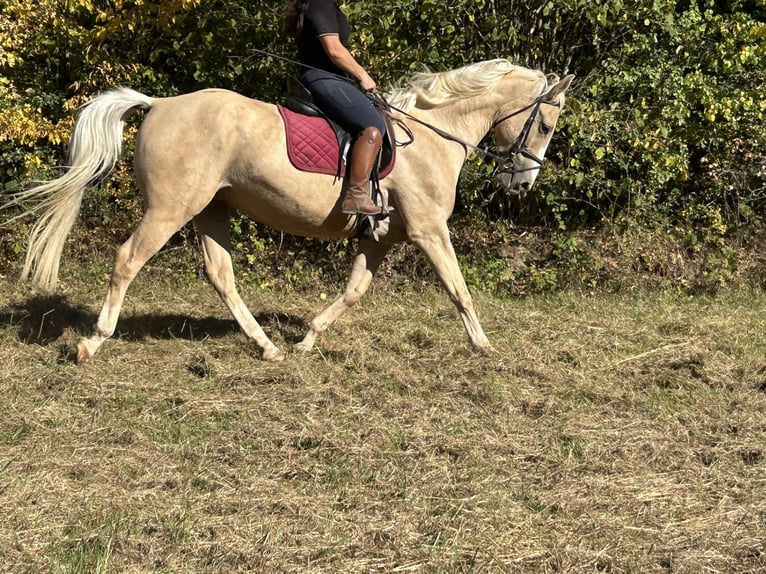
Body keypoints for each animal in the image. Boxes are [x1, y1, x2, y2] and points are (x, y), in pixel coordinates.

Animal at [5, 59, 573, 362]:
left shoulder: (381, 238)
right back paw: (93, 342)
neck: (435, 135)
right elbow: (459, 288)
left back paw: (267, 346)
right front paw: (484, 346)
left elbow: (353, 292)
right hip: (170, 209)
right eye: (546, 125)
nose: (521, 184)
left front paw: (306, 339)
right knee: (127, 260)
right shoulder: (429, 231)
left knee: (221, 274)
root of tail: (161, 102)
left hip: (210, 210)